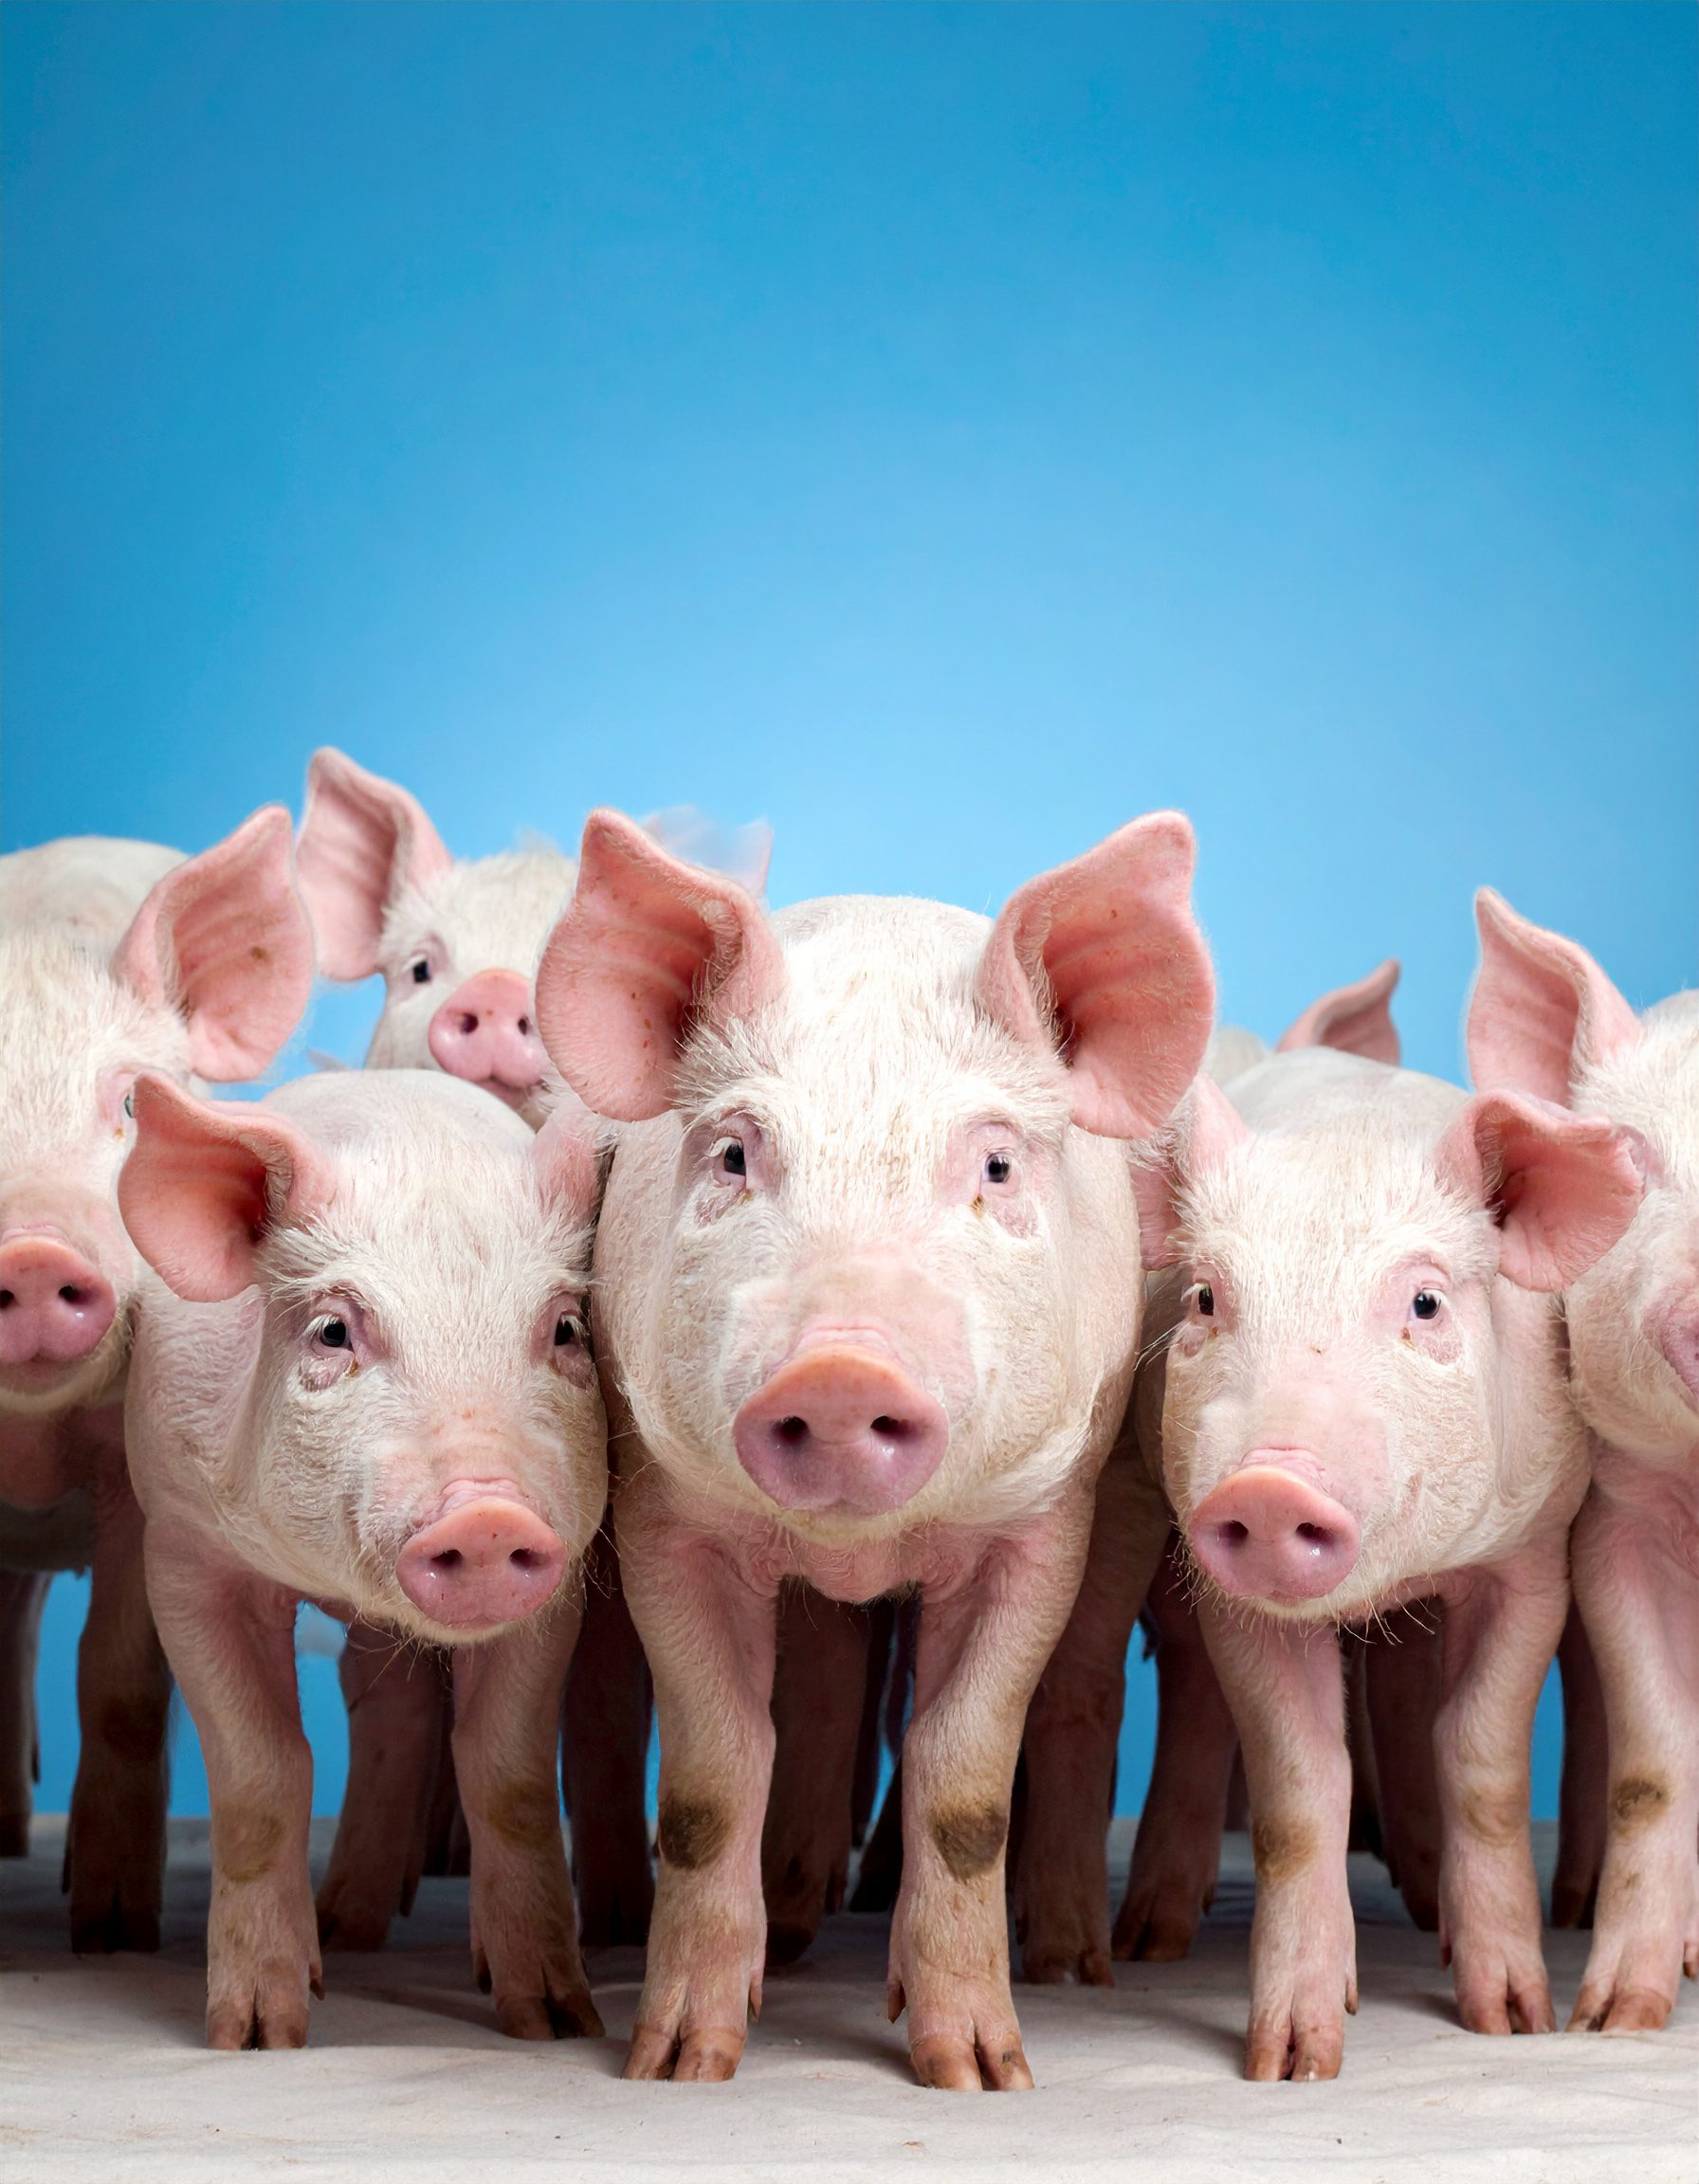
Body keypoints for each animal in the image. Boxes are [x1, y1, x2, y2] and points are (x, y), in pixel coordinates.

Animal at [117, 1066, 609, 2046]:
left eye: (568, 1329)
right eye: (334, 1332)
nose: (487, 1512)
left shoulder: (563, 1573)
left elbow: (508, 1768)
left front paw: (554, 2021)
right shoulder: (183, 1549)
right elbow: (263, 1769)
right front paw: (259, 2034)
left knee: (396, 1710)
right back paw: (345, 1934)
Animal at [533, 806, 1213, 2088]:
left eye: (994, 1164)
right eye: (735, 1157)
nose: (840, 1371)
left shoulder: (1040, 1523)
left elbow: (963, 1778)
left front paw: (981, 2075)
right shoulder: (662, 1509)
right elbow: (710, 1778)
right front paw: (681, 2065)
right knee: (828, 1678)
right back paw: (799, 1926)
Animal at [1135, 1036, 1643, 2079]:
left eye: (1425, 1301)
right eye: (1206, 1298)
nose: (1268, 1486)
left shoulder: (1533, 1556)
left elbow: (1480, 1756)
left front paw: (1513, 2020)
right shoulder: (1230, 1597)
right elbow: (1299, 1785)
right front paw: (1293, 2063)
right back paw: (1154, 1939)